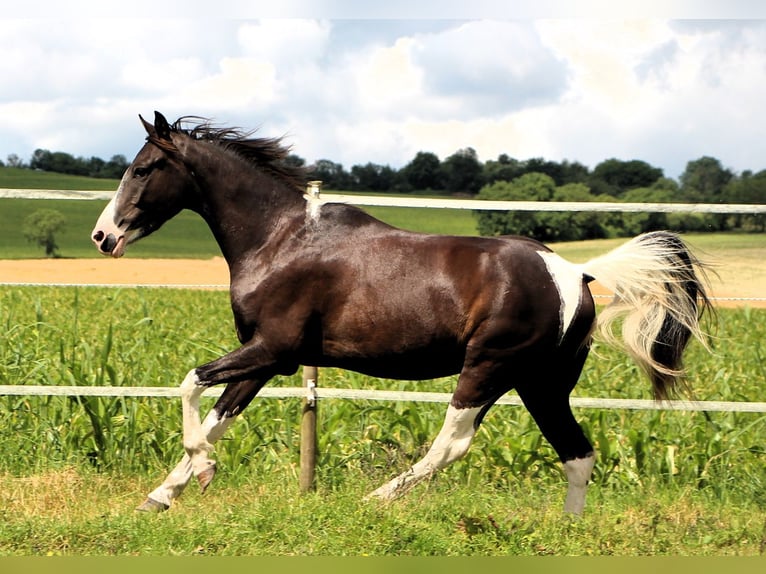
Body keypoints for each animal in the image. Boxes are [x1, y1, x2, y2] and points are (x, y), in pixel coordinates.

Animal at [93, 112, 716, 516]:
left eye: (143, 168)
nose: (103, 237)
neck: (280, 239)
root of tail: (578, 274)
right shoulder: (266, 360)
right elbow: (218, 415)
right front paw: (162, 496)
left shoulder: (273, 350)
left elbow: (190, 383)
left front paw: (200, 472)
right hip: (541, 383)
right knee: (578, 454)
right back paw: (566, 531)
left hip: (488, 369)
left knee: (453, 442)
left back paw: (376, 500)